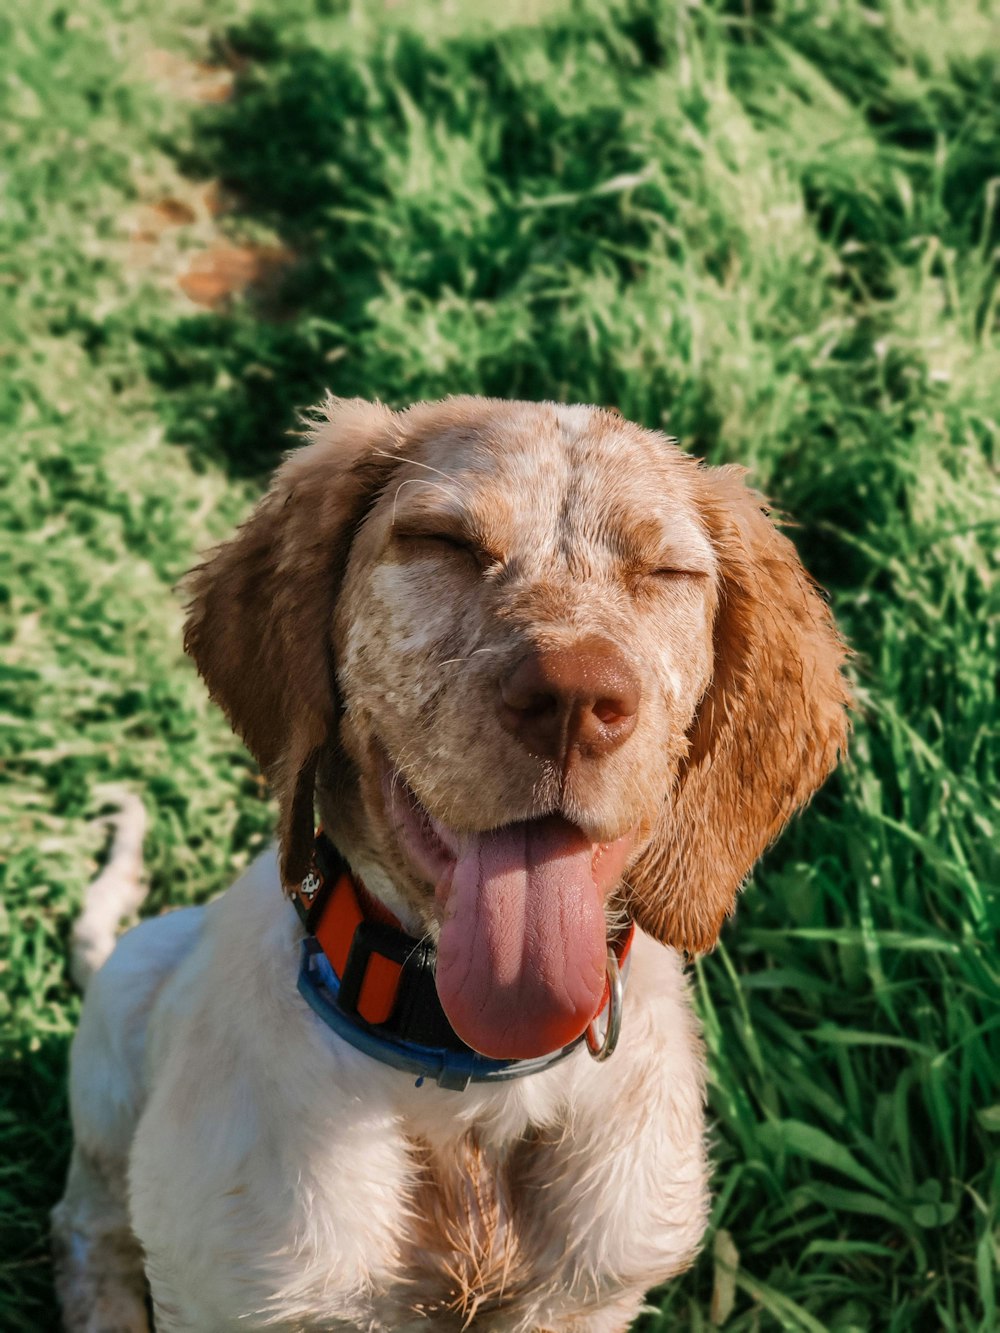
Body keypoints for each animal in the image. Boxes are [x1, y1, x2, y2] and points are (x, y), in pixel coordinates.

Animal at [53, 397, 853, 1333]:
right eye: (442, 542)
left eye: (667, 572)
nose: (575, 699)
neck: (471, 1079)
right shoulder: (230, 1293)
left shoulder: (591, 1294)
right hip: (126, 1006)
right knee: (86, 1218)